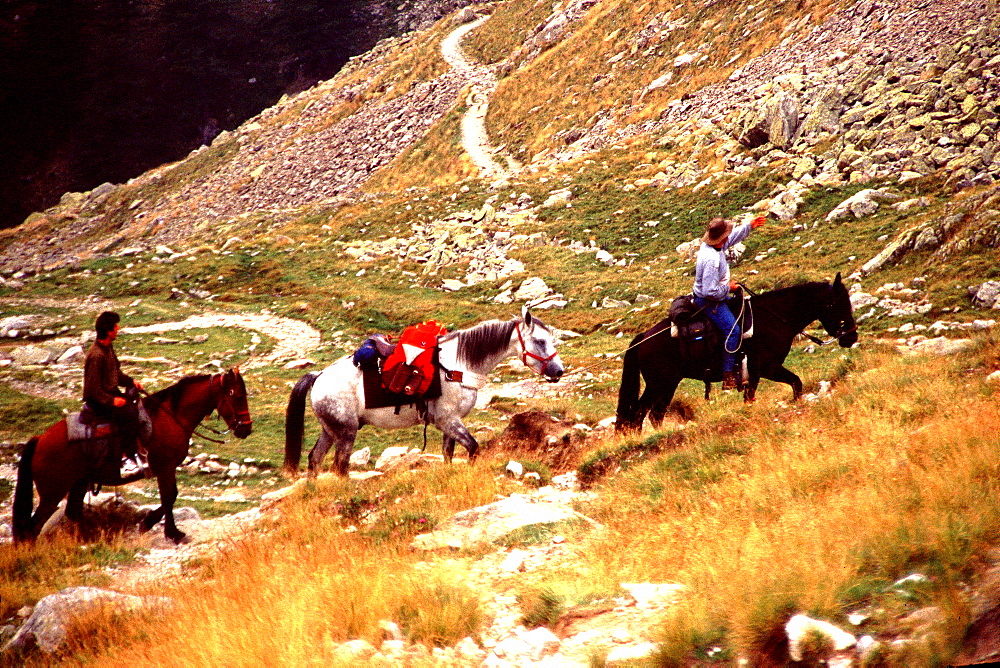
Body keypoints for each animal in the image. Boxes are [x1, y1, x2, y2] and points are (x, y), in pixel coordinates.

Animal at [13, 368, 252, 544]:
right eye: (237, 396)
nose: (246, 429)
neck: (172, 417)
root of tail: (39, 440)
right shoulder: (165, 468)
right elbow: (170, 496)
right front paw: (170, 532)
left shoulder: (165, 468)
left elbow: (169, 497)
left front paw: (152, 524)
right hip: (52, 493)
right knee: (33, 527)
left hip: (77, 483)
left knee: (72, 511)